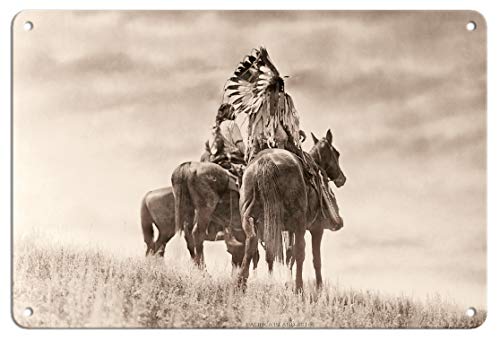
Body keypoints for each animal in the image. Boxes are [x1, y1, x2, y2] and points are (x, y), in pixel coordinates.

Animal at [237, 130, 344, 292]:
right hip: (299, 224)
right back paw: (299, 288)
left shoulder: (285, 229)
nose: (342, 178)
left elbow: (287, 255)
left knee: (252, 244)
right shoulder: (316, 228)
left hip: (250, 219)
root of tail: (265, 162)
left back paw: (240, 285)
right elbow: (315, 259)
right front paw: (319, 288)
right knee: (300, 252)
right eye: (336, 153)